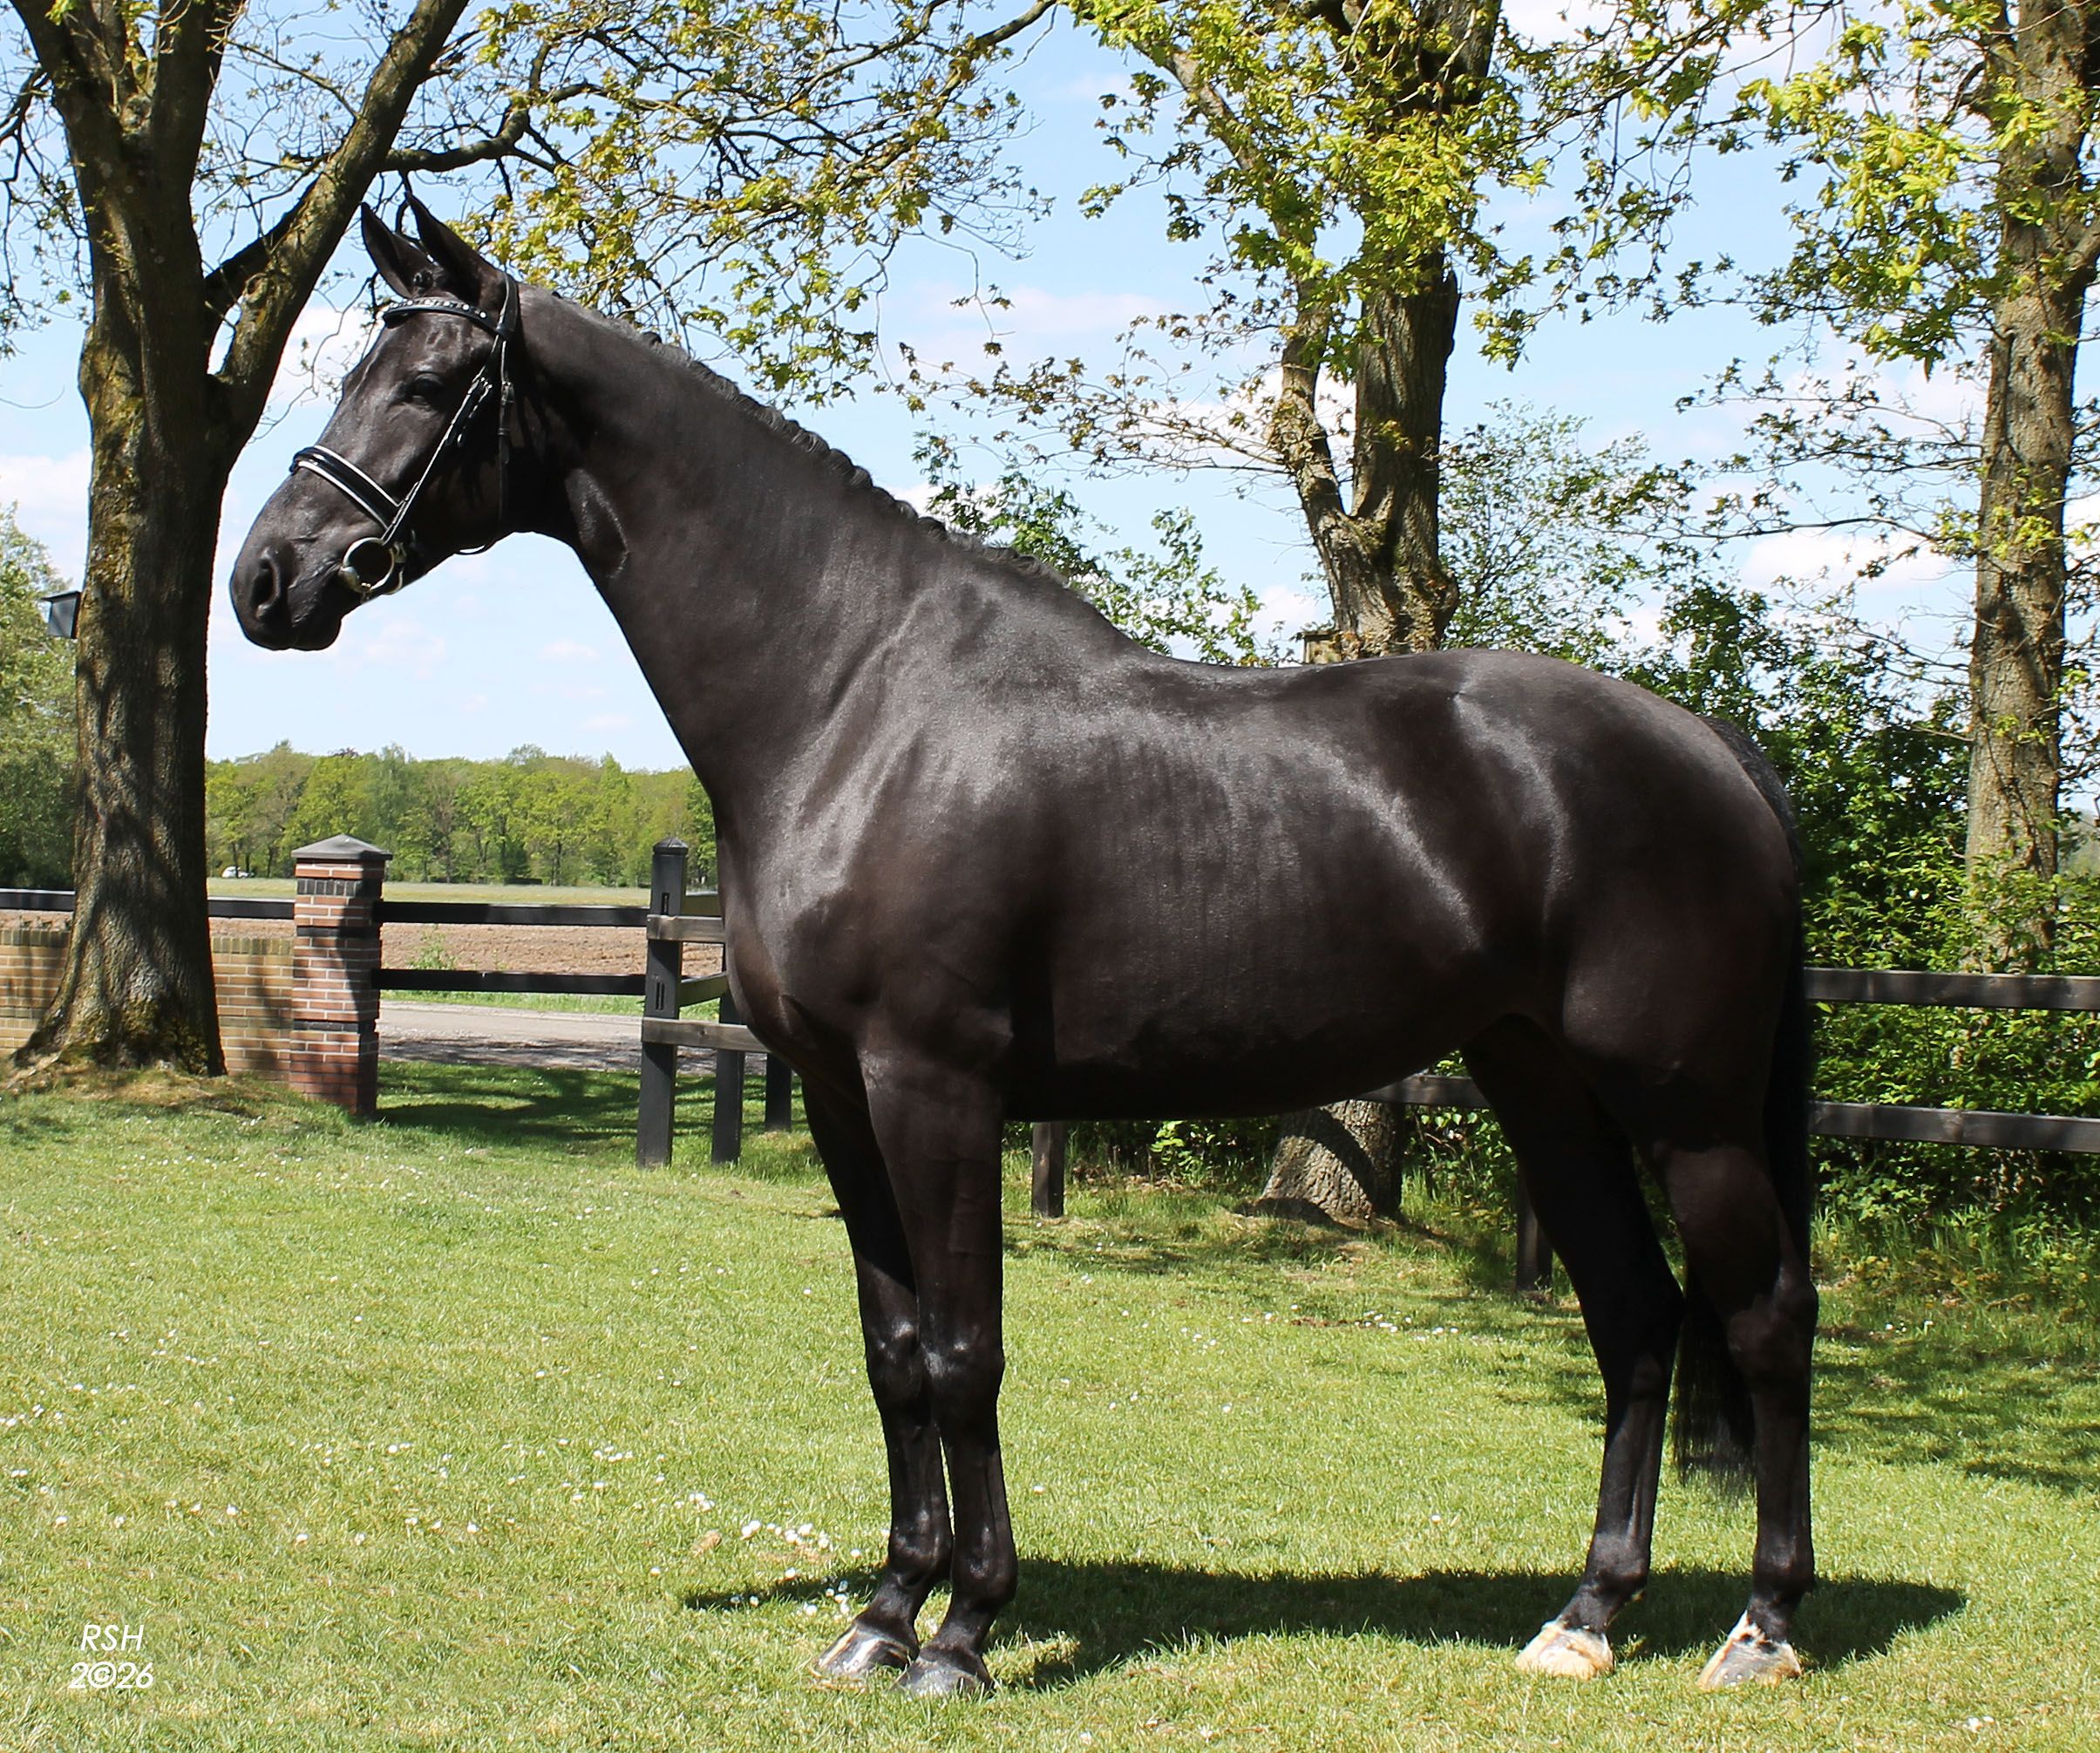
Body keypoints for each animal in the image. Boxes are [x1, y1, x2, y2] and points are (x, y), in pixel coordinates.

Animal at [229, 201, 1818, 1698]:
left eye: (424, 382)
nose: (268, 578)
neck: (851, 696)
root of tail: (1713, 750)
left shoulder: (937, 1087)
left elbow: (964, 1348)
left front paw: (964, 1628)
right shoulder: (838, 1094)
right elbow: (892, 1354)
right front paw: (881, 1615)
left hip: (1689, 1111)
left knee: (1761, 1316)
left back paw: (1759, 1625)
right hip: (1543, 1085)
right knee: (1636, 1319)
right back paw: (1586, 1614)